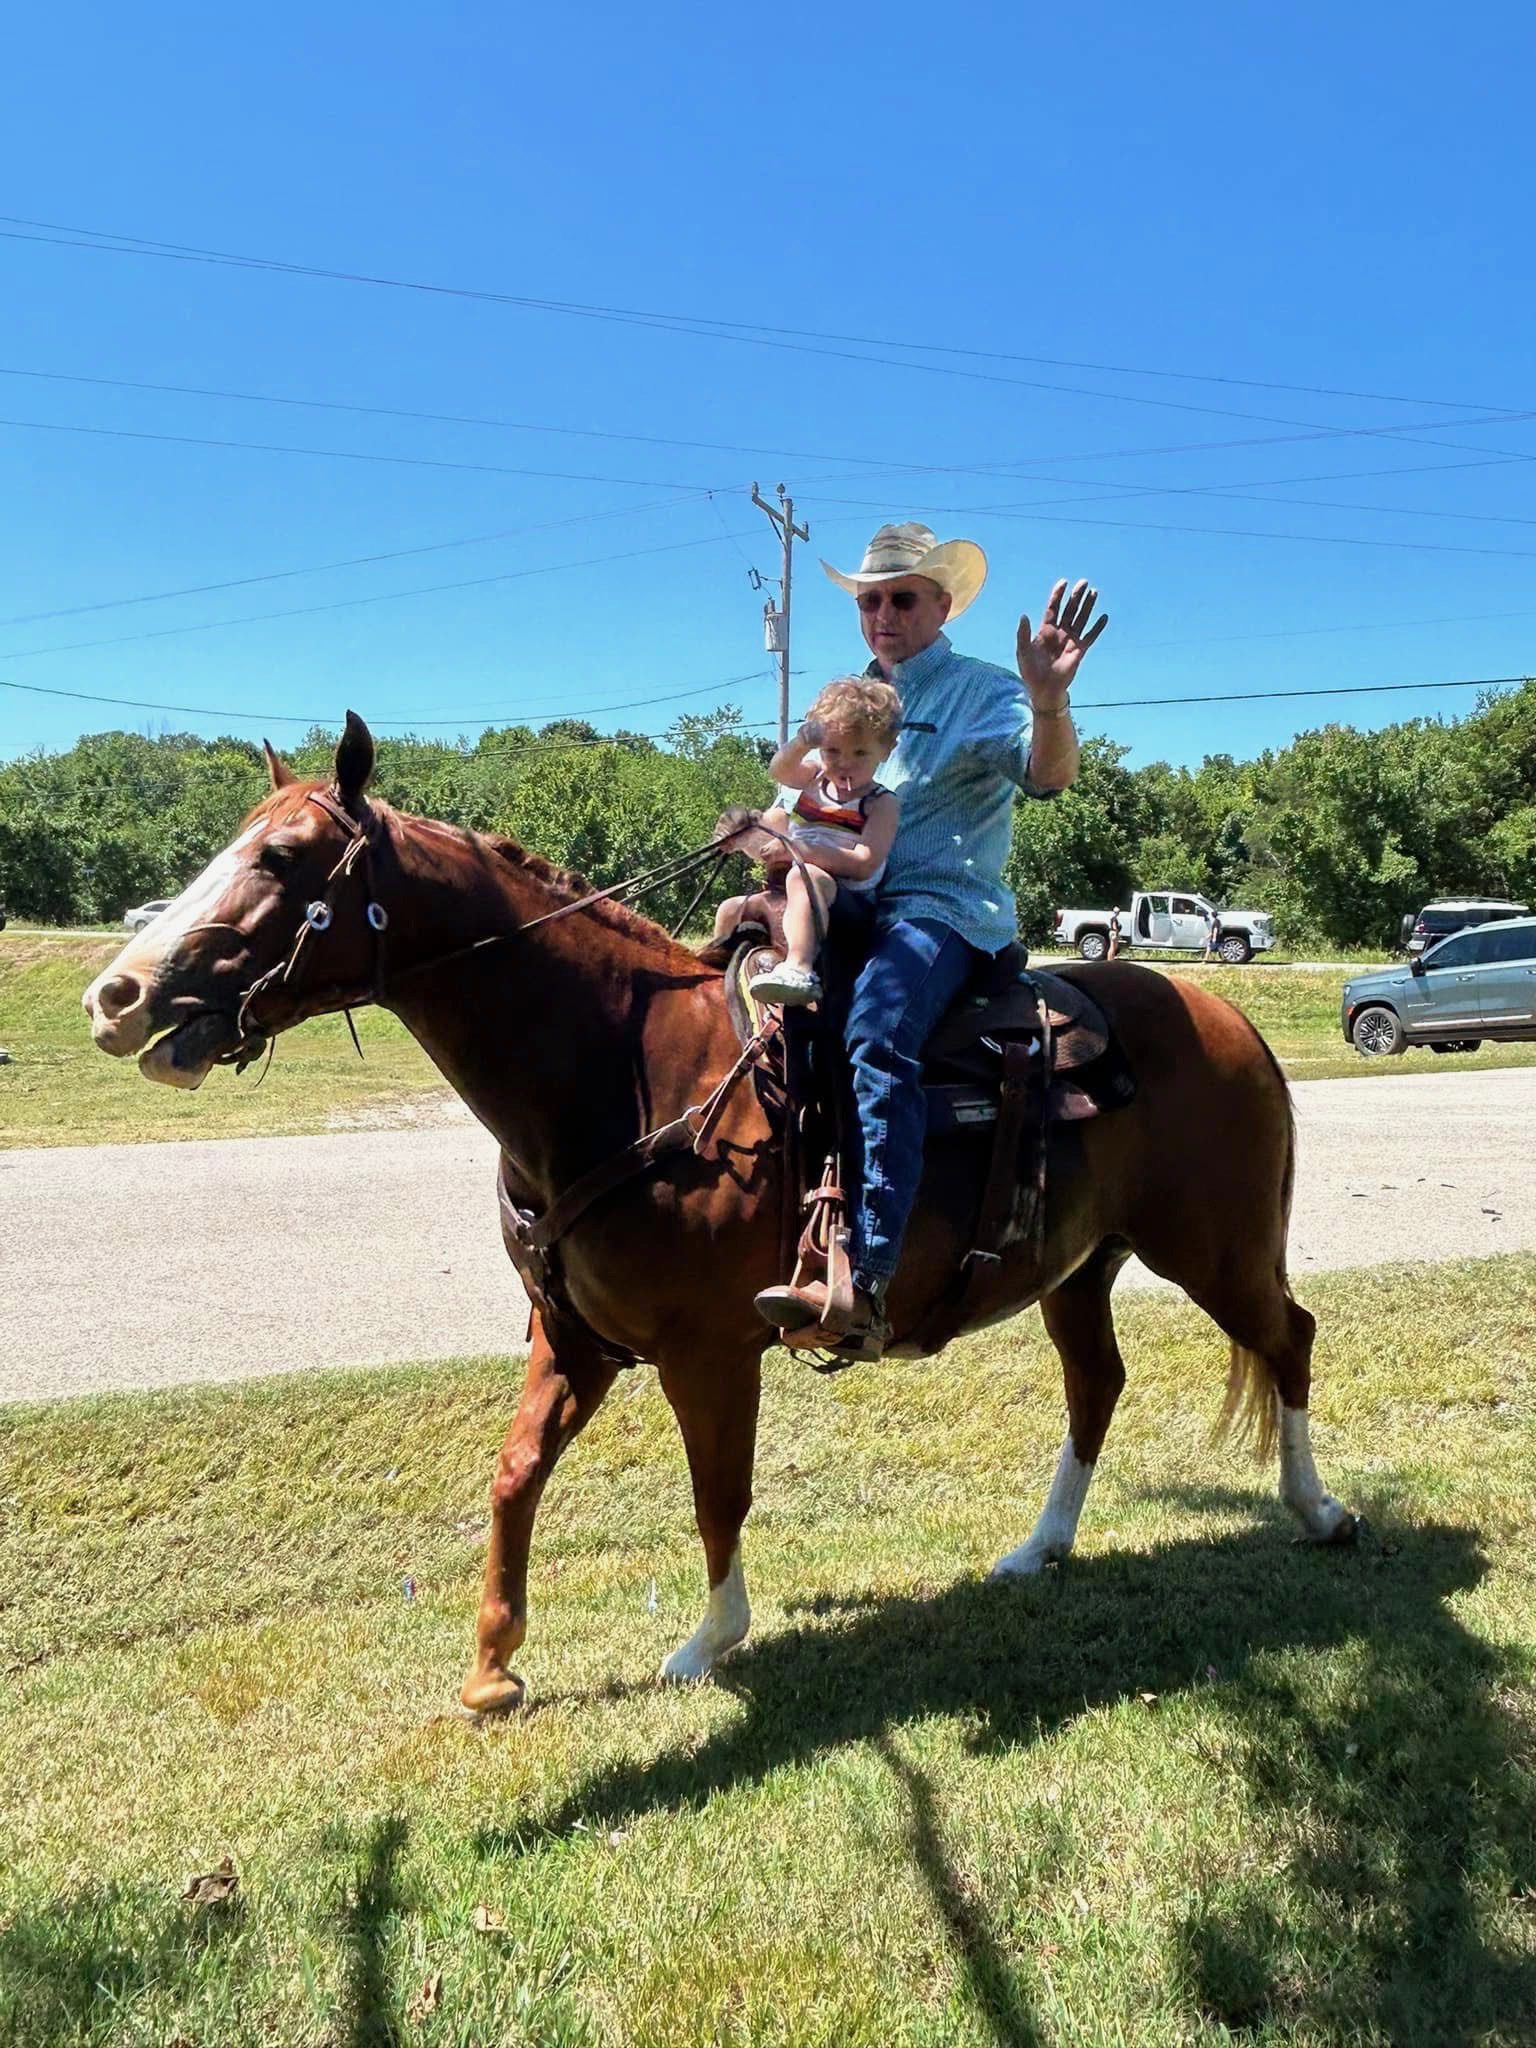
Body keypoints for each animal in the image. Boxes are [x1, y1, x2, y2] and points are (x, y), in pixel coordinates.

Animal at [81, 715, 1355, 1716]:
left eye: (285, 855)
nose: (117, 993)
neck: (625, 1070)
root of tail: (1226, 1015)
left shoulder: (708, 1349)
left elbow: (716, 1488)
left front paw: (710, 1639)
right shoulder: (572, 1334)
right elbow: (514, 1472)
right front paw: (493, 1664)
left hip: (1216, 1249)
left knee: (1287, 1337)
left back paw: (1317, 1508)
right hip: (1081, 1266)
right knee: (1098, 1381)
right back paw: (1039, 1547)